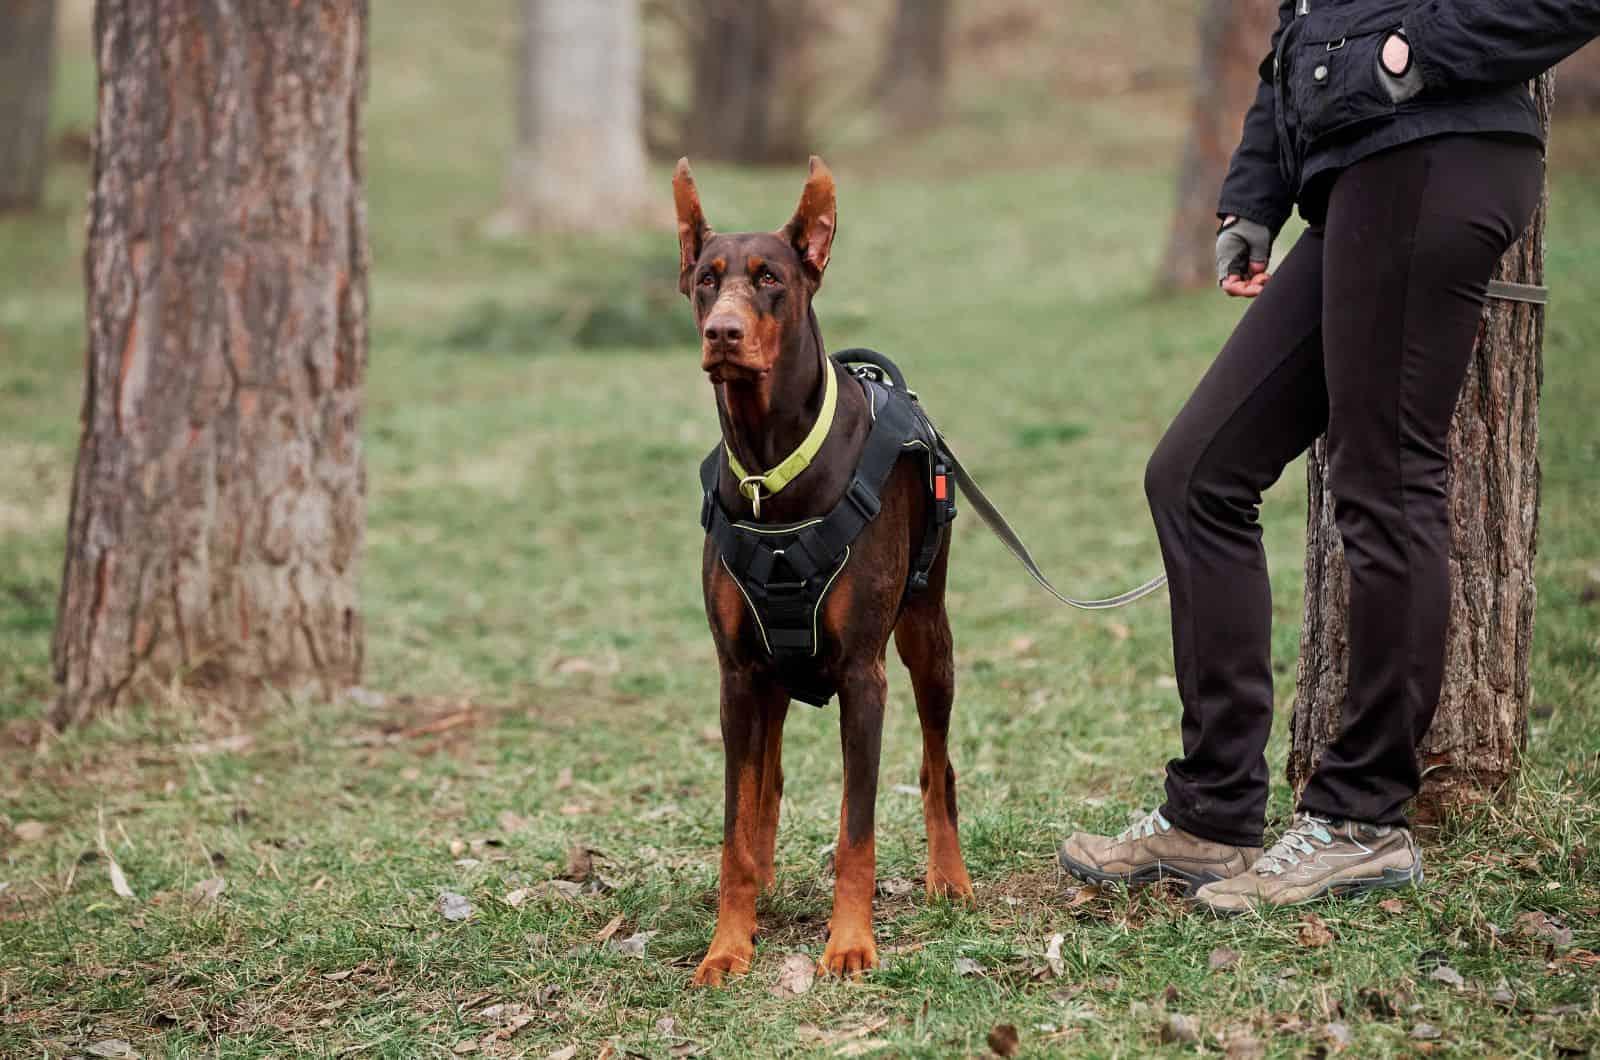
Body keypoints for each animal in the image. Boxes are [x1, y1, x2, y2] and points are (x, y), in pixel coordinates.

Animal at [675, 157, 972, 986]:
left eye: (770, 278)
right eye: (706, 280)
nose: (722, 333)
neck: (773, 470)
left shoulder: (863, 675)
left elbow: (857, 829)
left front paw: (849, 943)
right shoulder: (736, 673)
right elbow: (735, 826)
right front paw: (728, 944)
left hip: (927, 637)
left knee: (938, 766)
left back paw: (950, 877)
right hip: (769, 678)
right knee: (766, 786)